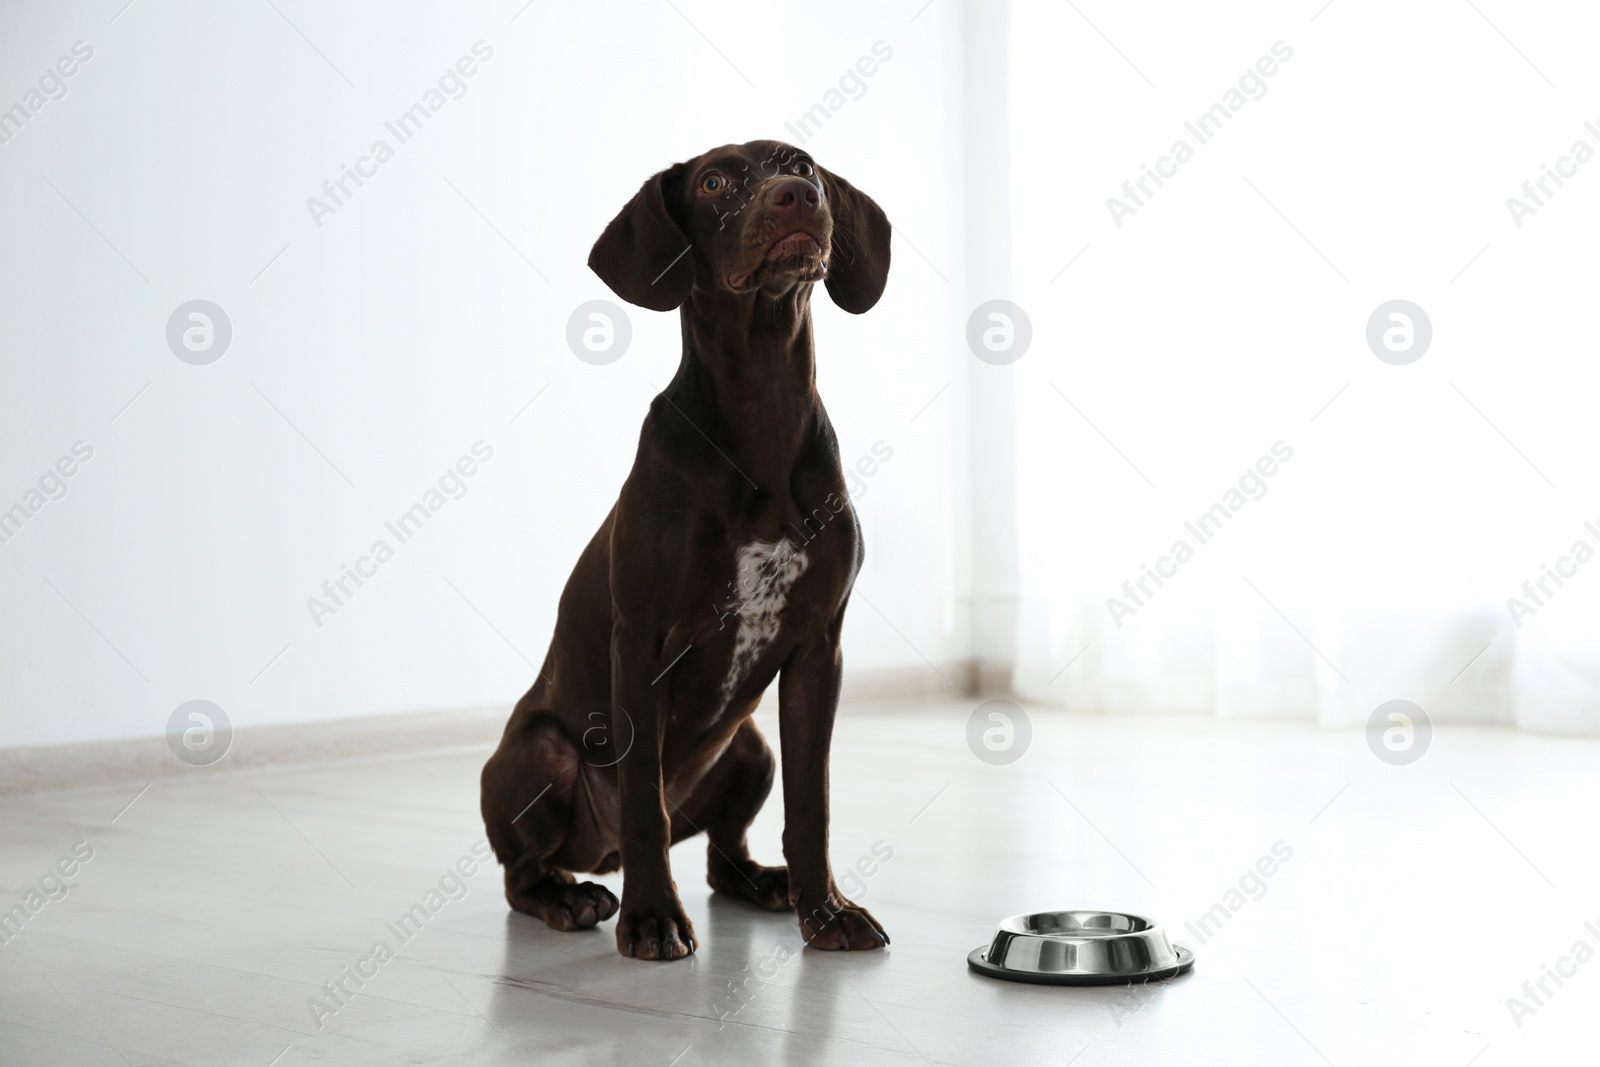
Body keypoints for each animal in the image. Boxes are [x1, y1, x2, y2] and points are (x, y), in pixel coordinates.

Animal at [480, 139, 896, 959]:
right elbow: (645, 802)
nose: (797, 196)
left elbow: (812, 804)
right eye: (713, 181)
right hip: (541, 754)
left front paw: (825, 910)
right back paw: (571, 896)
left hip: (749, 747)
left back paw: (766, 884)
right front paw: (651, 917)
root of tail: (597, 852)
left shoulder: (817, 651)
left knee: (718, 855)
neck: (762, 410)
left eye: (802, 164)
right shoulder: (643, 643)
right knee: (524, 874)